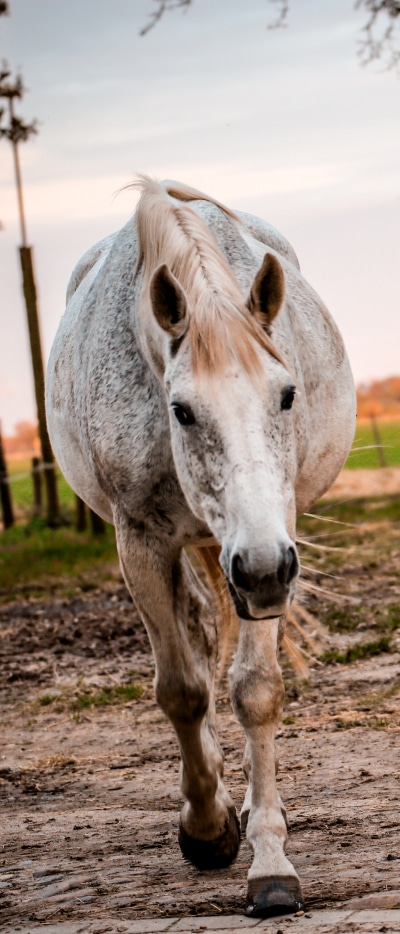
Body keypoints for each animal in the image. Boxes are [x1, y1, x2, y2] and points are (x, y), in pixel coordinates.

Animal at [46, 177, 356, 917]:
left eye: (287, 394)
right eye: (181, 410)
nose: (264, 570)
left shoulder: (272, 543)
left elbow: (257, 691)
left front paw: (270, 862)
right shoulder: (141, 542)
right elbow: (184, 690)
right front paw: (207, 828)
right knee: (193, 634)